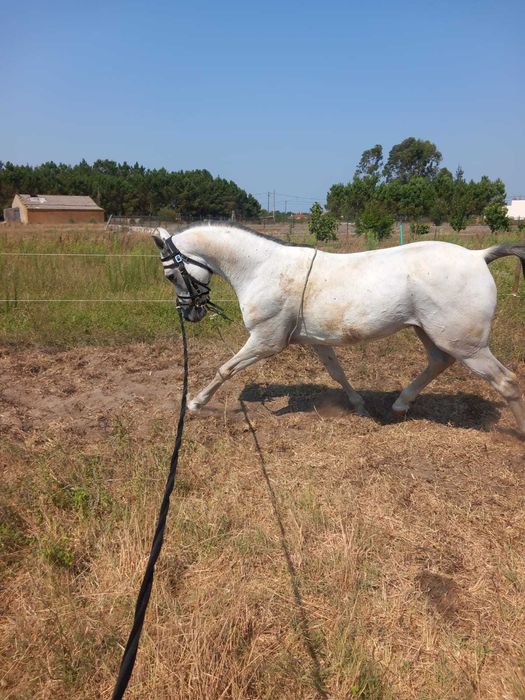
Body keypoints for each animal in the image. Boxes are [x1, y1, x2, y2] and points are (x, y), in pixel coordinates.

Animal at [153, 223, 525, 438]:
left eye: (171, 275)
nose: (190, 313)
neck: (262, 269)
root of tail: (478, 256)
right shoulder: (317, 341)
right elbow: (338, 373)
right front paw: (359, 407)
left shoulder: (266, 341)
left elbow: (225, 369)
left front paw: (195, 404)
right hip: (432, 333)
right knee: (437, 362)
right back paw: (399, 406)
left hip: (467, 345)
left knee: (506, 381)